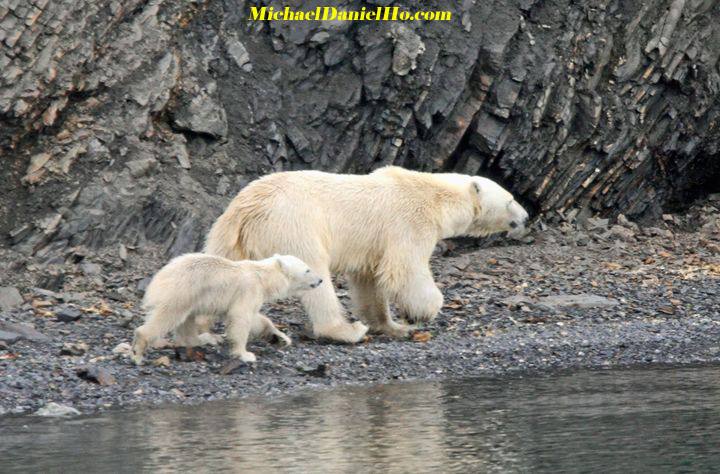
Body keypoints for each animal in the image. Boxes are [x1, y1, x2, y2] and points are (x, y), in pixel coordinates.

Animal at [204, 168, 528, 344]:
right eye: (511, 199)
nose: (526, 216)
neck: (436, 196)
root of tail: (245, 209)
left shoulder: (373, 245)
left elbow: (369, 279)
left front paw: (394, 326)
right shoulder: (408, 222)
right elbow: (405, 269)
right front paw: (424, 312)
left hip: (226, 237)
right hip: (294, 224)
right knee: (316, 275)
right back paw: (345, 330)